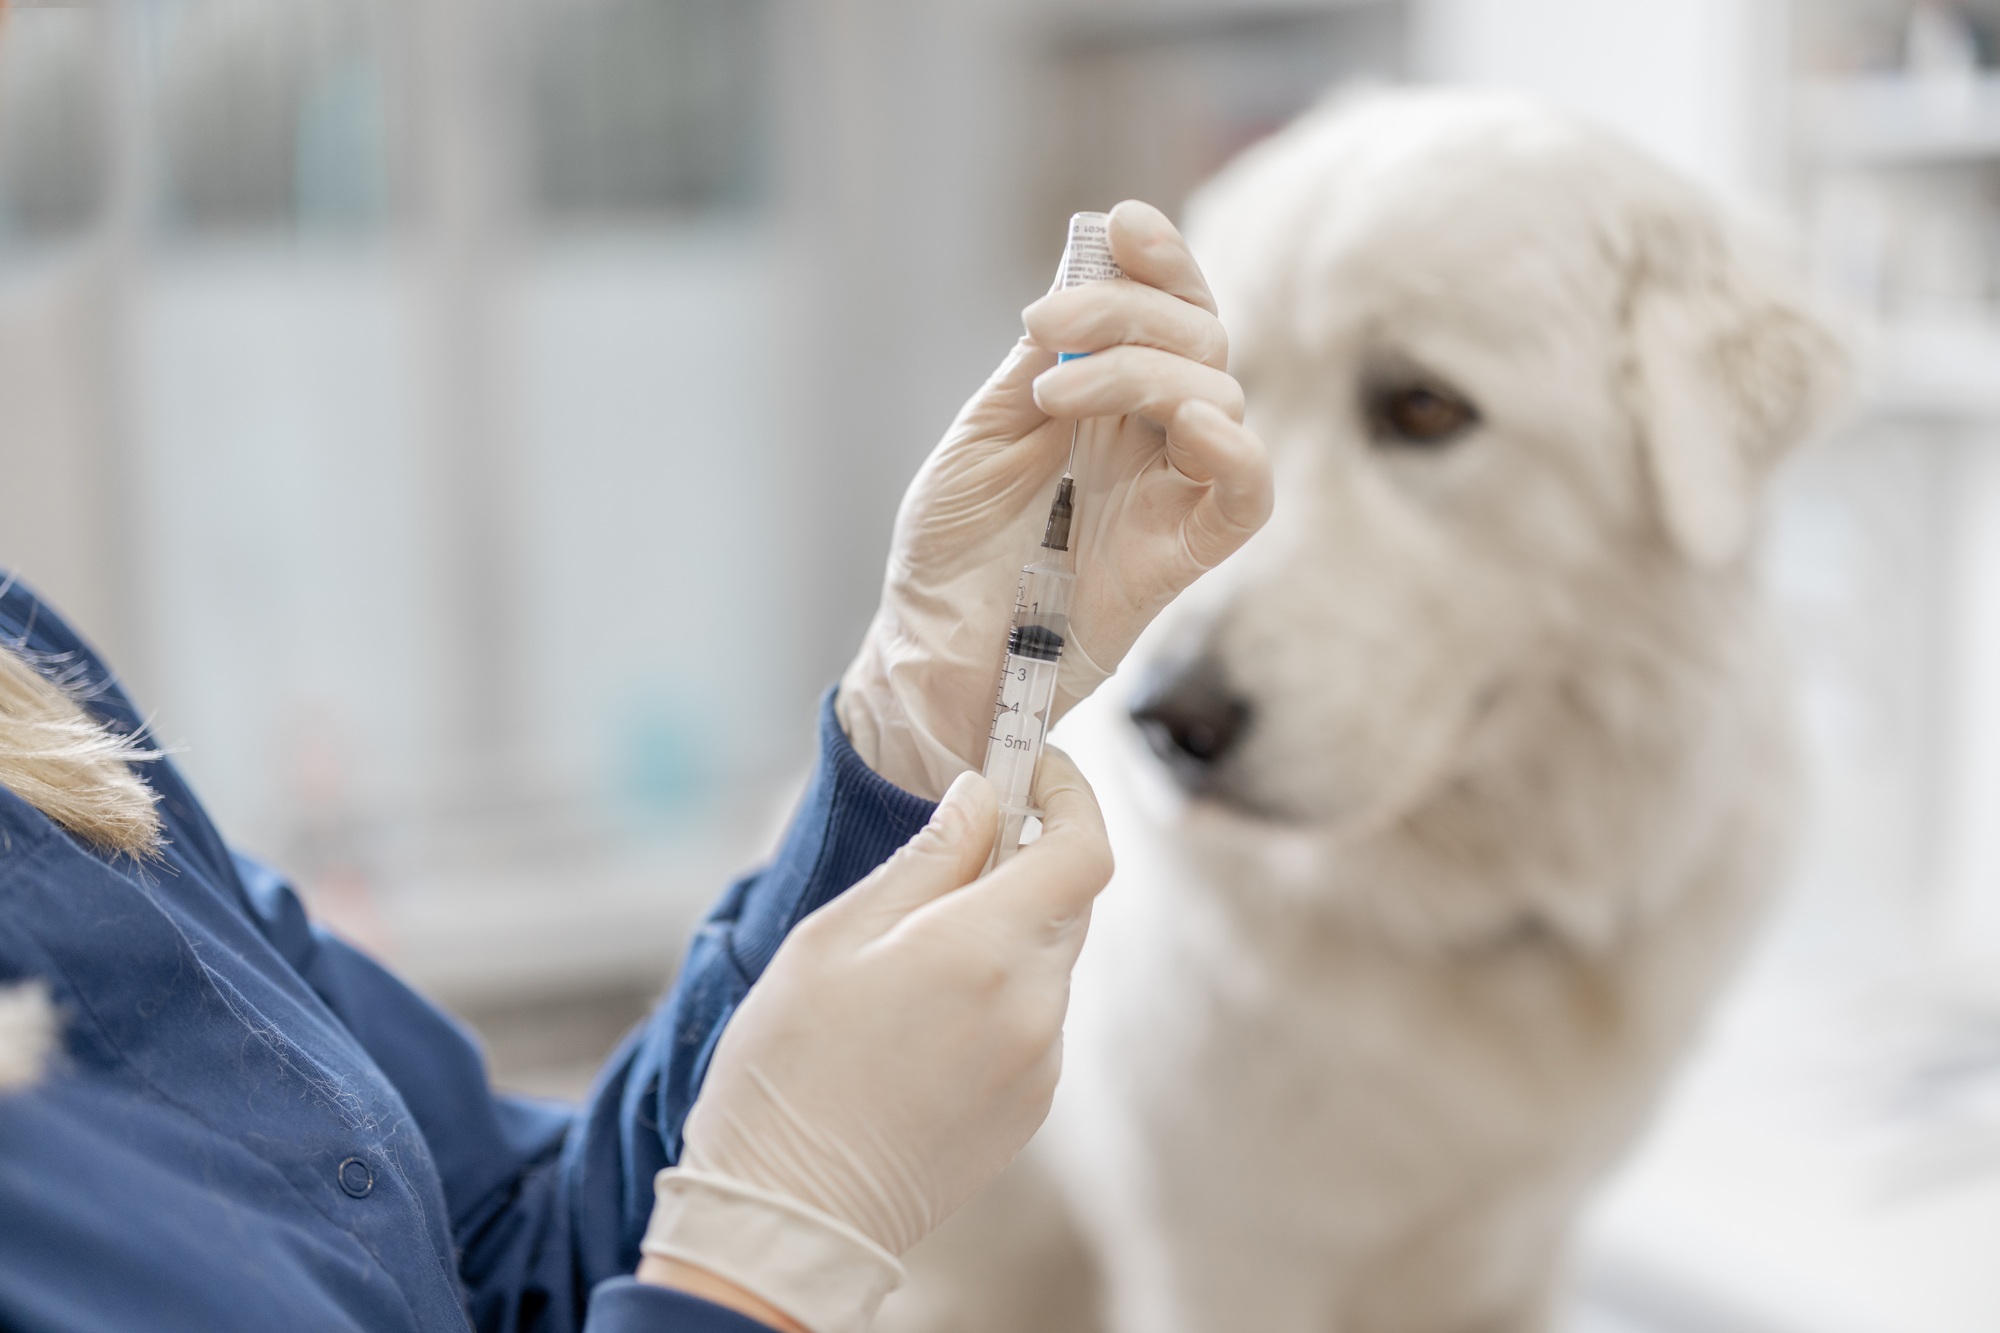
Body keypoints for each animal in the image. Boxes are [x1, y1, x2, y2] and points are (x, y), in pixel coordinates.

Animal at [884, 91, 1848, 1328]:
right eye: (1191, 427)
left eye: (1423, 408)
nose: (1168, 725)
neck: (1459, 916)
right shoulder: (1218, 1262)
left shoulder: (1517, 1258)